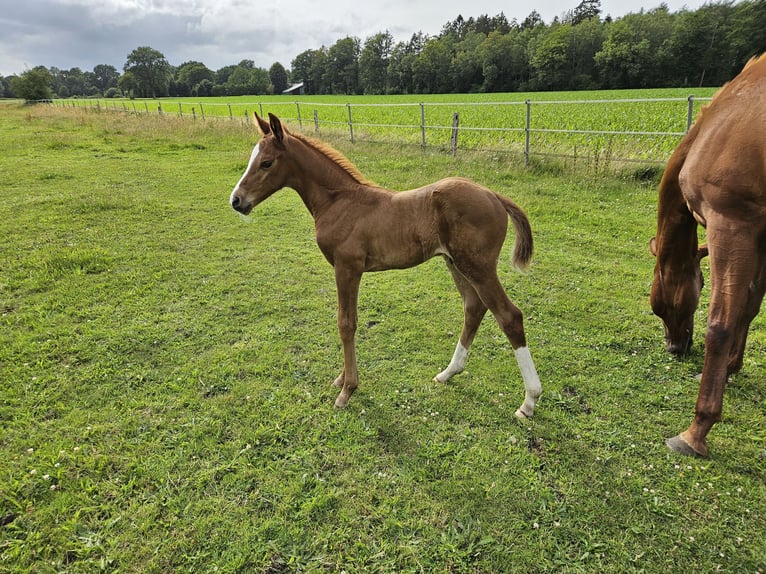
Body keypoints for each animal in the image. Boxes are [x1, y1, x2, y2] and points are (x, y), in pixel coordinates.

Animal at [231, 113, 544, 418]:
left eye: (267, 162)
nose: (236, 200)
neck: (339, 201)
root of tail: (494, 195)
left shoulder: (347, 268)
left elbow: (346, 323)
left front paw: (346, 390)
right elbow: (347, 321)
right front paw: (341, 379)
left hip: (479, 267)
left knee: (509, 316)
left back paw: (529, 401)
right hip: (456, 263)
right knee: (474, 308)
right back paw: (447, 373)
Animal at [656, 54, 766, 460]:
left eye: (660, 304)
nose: (674, 347)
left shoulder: (731, 223)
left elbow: (721, 323)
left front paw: (697, 429)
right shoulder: (760, 234)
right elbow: (748, 307)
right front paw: (732, 367)